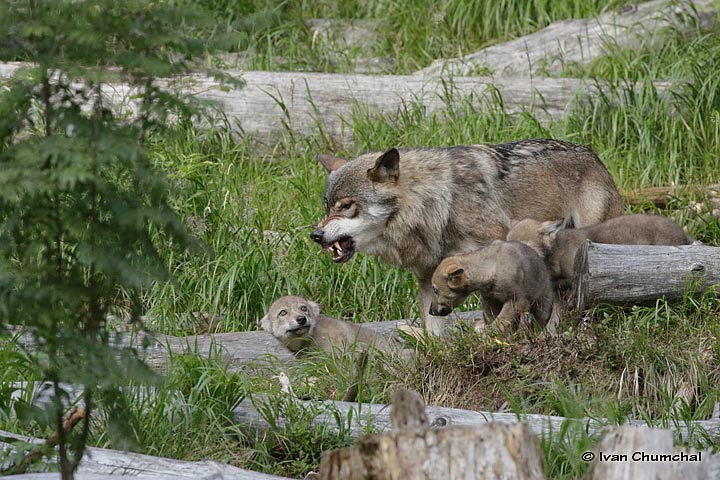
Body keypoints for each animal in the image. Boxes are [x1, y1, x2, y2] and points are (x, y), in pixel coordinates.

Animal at [430, 239, 560, 336]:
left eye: (435, 290)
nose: (430, 311)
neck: (491, 267)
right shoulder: (489, 299)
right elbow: (493, 316)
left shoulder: (516, 300)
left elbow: (502, 319)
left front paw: (488, 332)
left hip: (543, 300)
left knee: (541, 318)